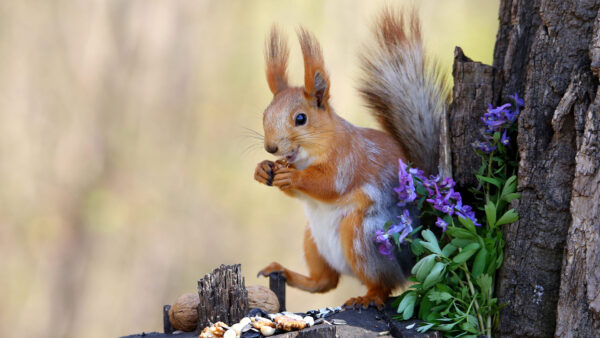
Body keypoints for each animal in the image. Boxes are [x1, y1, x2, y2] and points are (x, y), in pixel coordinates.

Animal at [252, 7, 446, 308]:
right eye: (265, 114)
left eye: (301, 119)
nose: (271, 148)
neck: (309, 156)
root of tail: (413, 258)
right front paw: (263, 170)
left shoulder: (349, 158)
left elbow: (329, 184)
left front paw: (293, 176)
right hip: (312, 240)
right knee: (324, 282)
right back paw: (284, 271)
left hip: (363, 237)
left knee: (385, 284)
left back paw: (368, 297)